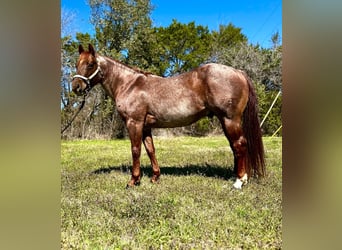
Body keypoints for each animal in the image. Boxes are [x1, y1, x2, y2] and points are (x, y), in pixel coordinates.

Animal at [71, 44, 264, 189]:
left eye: (90, 64)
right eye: (76, 63)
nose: (76, 87)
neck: (129, 84)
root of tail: (238, 72)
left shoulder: (134, 123)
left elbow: (135, 150)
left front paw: (133, 181)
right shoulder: (146, 126)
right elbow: (150, 150)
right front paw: (155, 177)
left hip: (230, 119)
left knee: (239, 144)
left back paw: (239, 181)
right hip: (225, 121)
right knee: (234, 146)